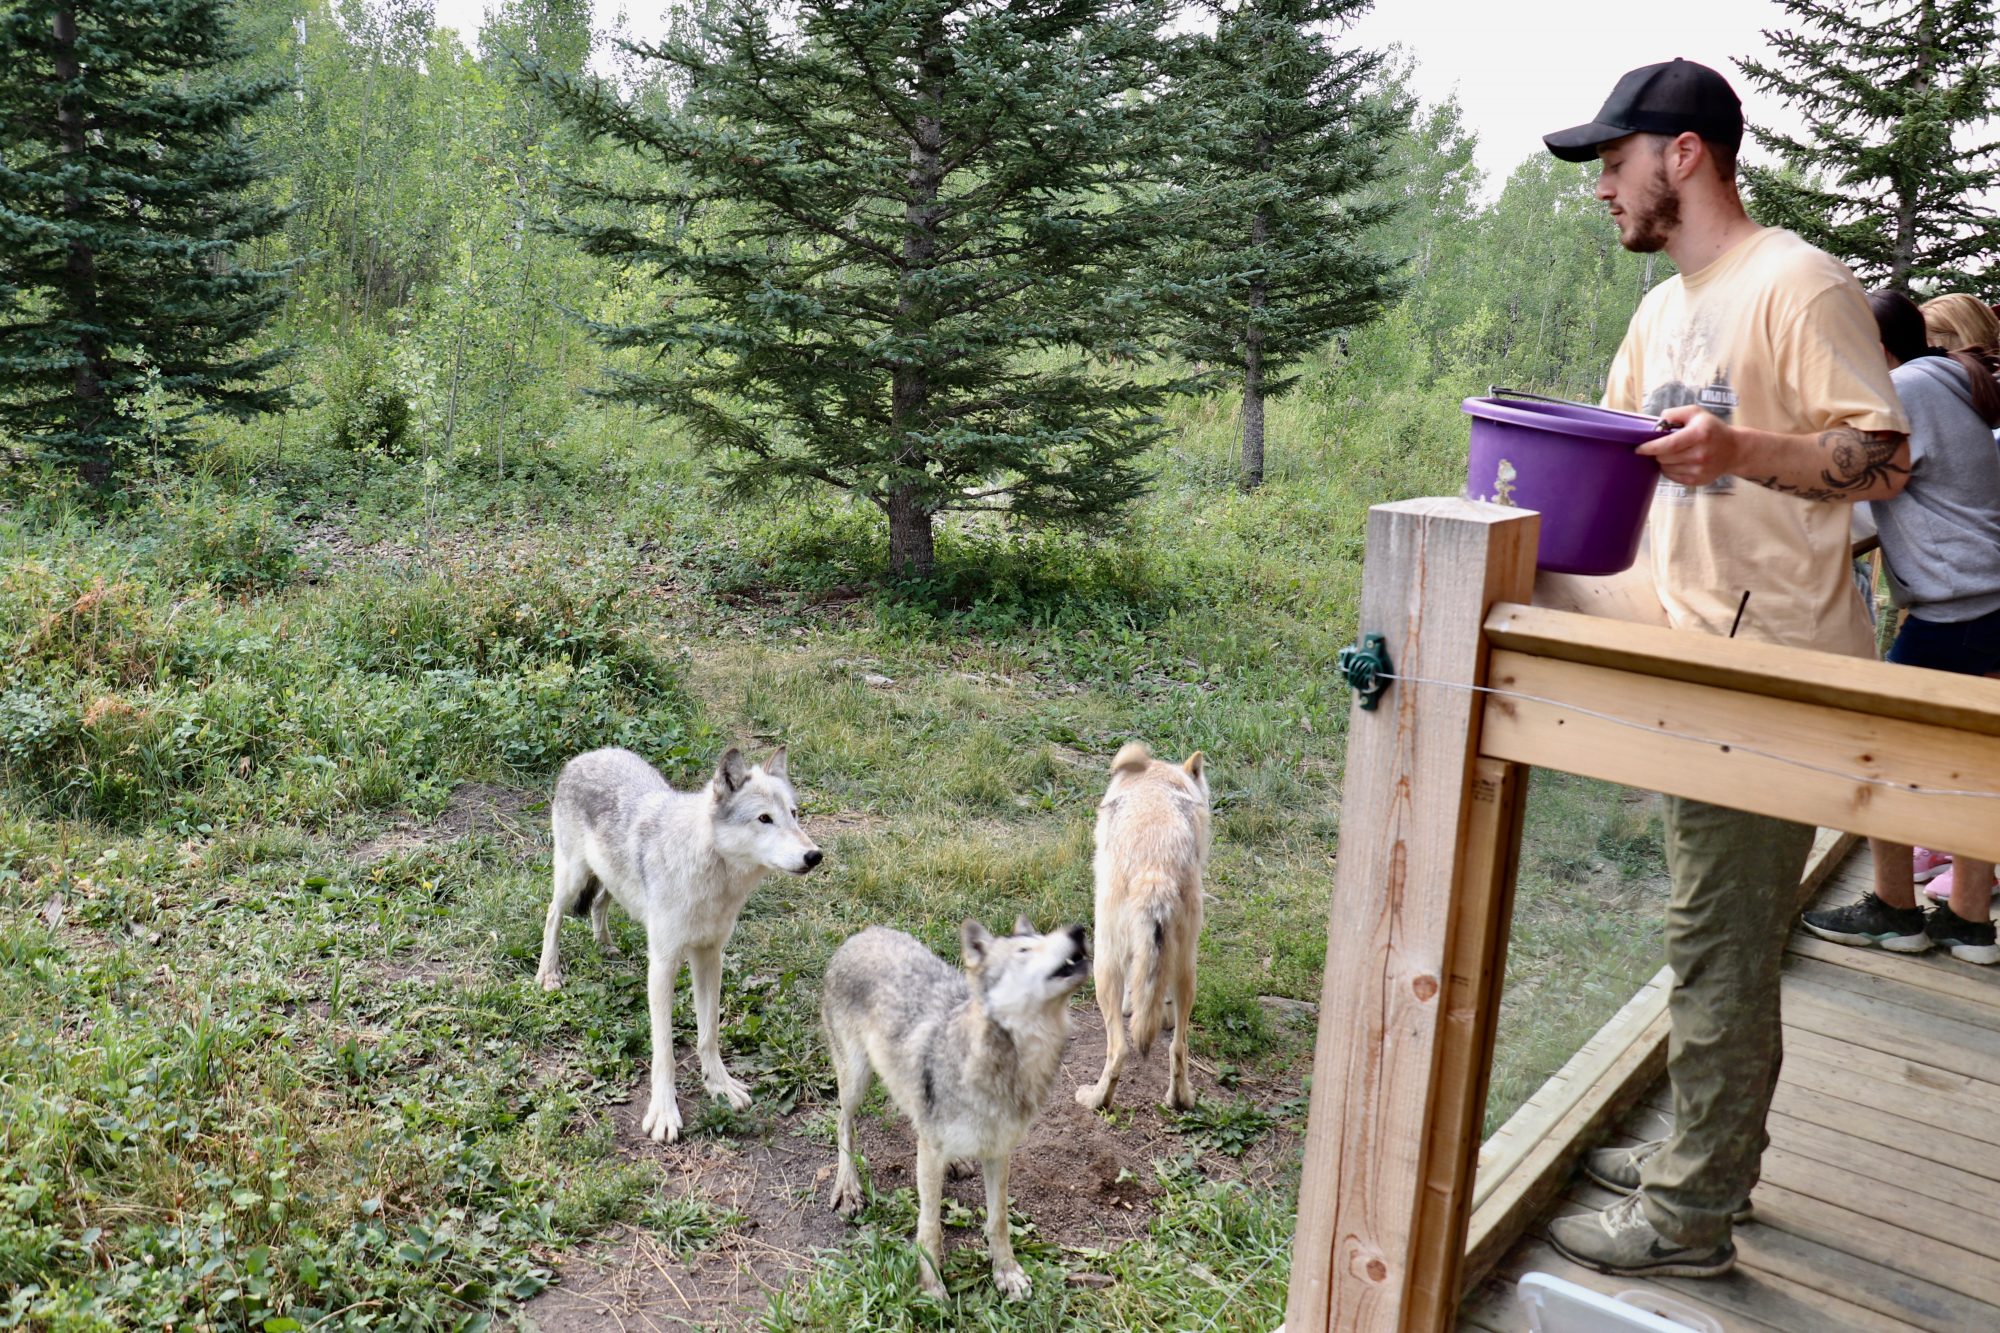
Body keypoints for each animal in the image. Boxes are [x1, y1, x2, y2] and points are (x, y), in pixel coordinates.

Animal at [532, 748, 820, 1144]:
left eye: (794, 813)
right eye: (764, 818)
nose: (815, 855)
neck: (711, 875)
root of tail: (588, 755)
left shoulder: (709, 957)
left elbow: (709, 1035)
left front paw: (720, 1085)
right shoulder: (663, 964)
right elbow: (664, 1051)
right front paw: (664, 1113)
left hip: (610, 881)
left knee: (599, 903)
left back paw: (606, 947)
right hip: (572, 878)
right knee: (552, 915)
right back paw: (549, 973)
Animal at [820, 920, 1088, 1288]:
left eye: (1042, 938)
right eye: (1024, 950)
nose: (1079, 931)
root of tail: (863, 934)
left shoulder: (998, 1151)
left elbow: (998, 1220)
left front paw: (1006, 1271)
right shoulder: (931, 1154)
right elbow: (930, 1226)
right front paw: (931, 1286)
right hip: (856, 1080)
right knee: (843, 1123)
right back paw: (848, 1187)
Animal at [1080, 736, 1200, 1112]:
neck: (1155, 784)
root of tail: (1155, 873)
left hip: (1102, 966)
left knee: (1118, 1049)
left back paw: (1095, 1100)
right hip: (1187, 966)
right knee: (1178, 1046)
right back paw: (1180, 1100)